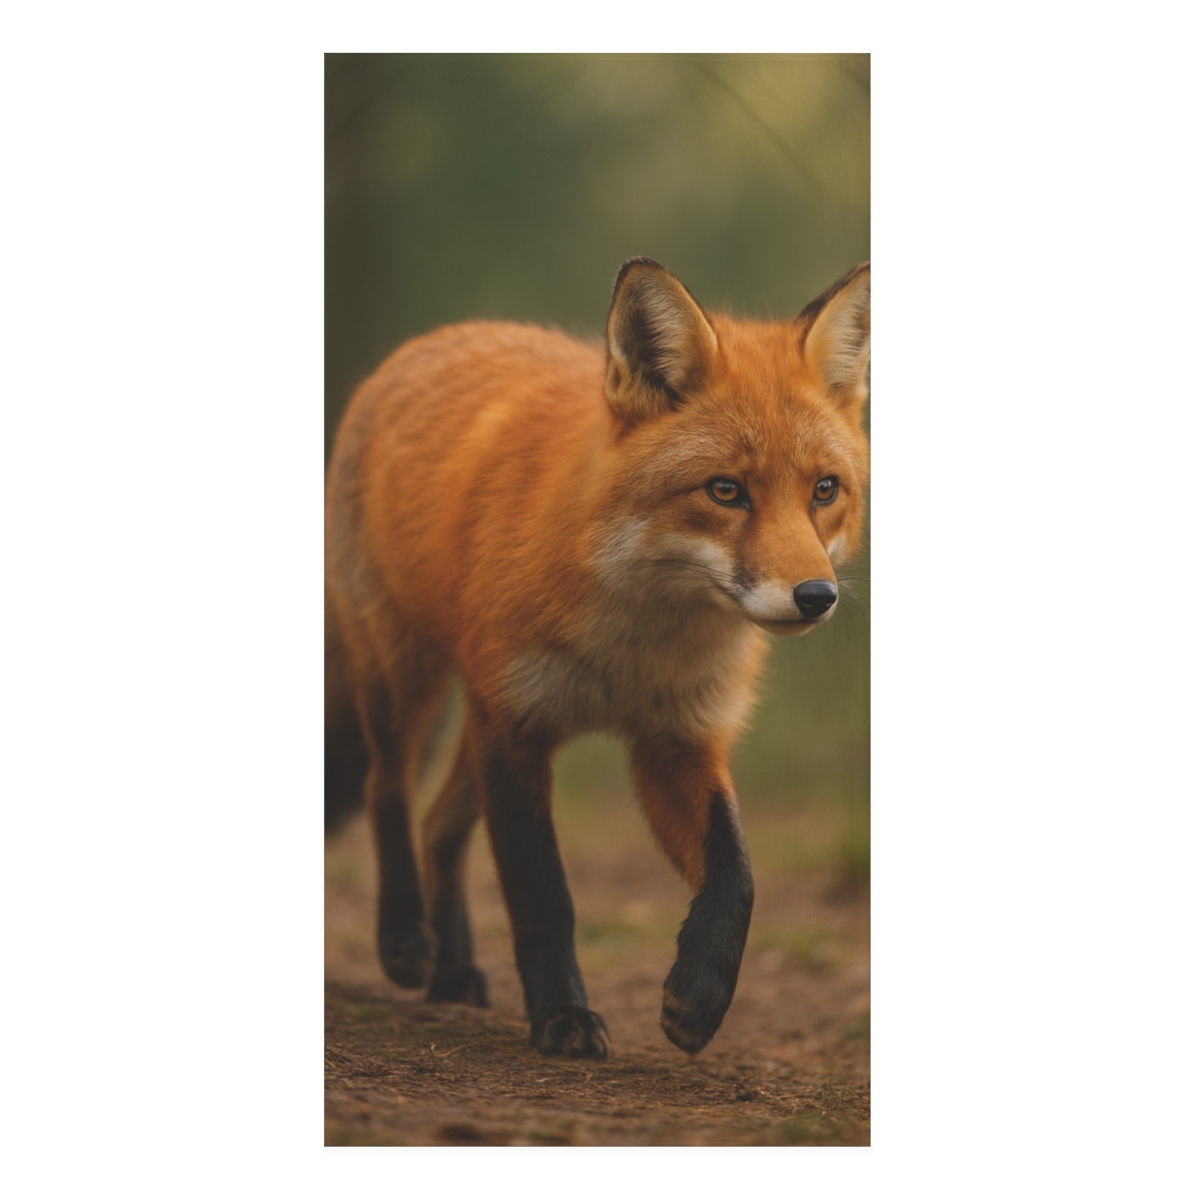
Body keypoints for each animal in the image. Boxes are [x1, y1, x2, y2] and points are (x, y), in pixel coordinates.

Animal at [325, 257, 870, 1058]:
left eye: (824, 490)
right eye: (726, 490)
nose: (816, 597)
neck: (633, 652)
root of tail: (439, 336)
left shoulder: (675, 739)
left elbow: (737, 873)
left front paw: (699, 997)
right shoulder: (518, 727)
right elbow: (542, 893)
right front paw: (562, 1017)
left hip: (472, 719)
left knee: (440, 825)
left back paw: (453, 970)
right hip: (406, 678)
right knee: (386, 791)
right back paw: (404, 942)